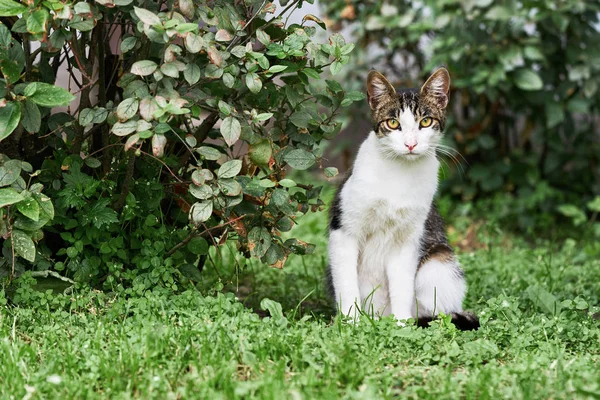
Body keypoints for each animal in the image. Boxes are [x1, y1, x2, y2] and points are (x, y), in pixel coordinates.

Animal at [326, 68, 480, 332]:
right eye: (393, 123)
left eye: (425, 122)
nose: (410, 144)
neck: (399, 174)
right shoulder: (343, 231)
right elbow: (346, 283)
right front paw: (351, 323)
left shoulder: (408, 239)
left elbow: (402, 285)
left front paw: (401, 326)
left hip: (439, 263)